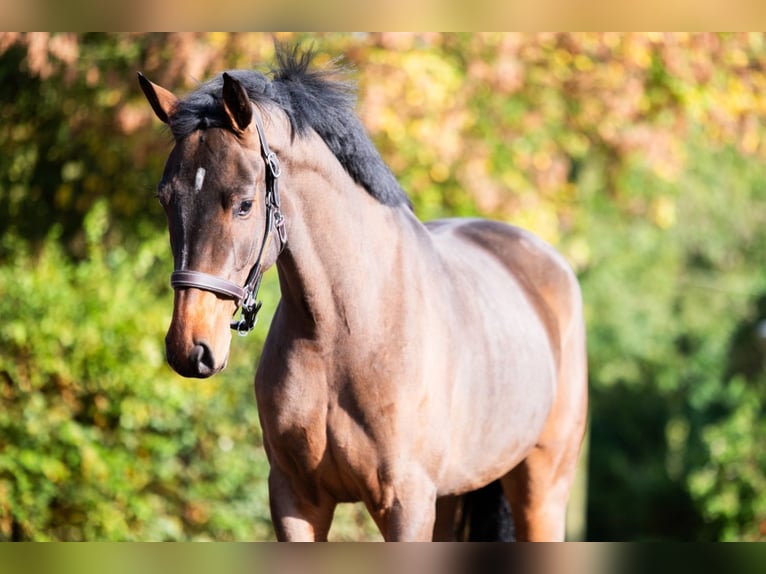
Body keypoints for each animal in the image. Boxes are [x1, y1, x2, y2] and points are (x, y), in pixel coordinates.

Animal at [138, 46, 588, 544]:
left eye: (244, 204)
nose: (189, 347)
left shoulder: (407, 504)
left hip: (541, 491)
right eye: (165, 200)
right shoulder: (296, 499)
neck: (344, 331)